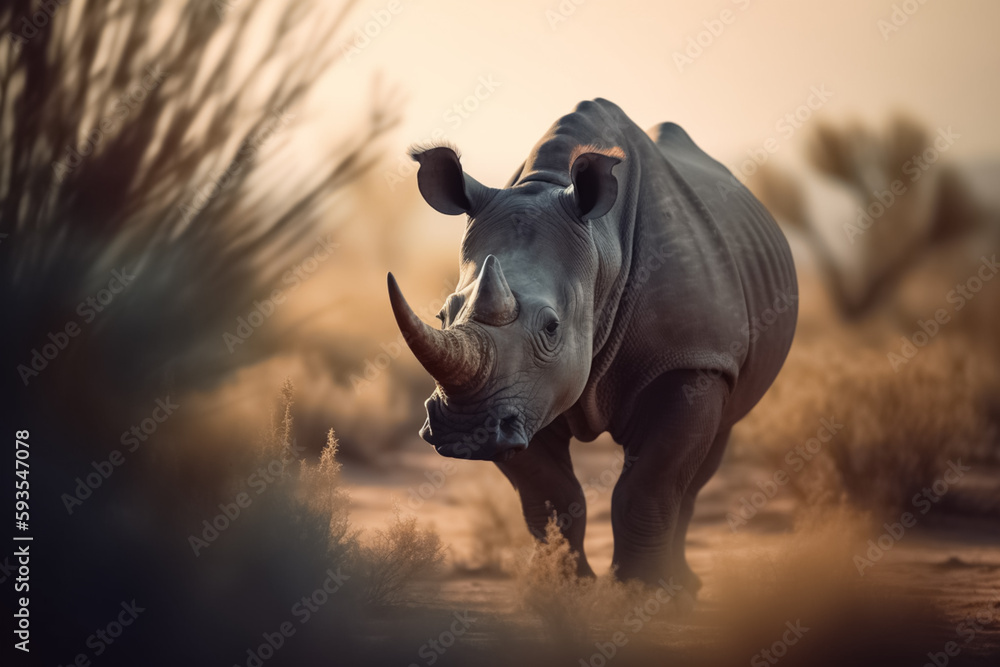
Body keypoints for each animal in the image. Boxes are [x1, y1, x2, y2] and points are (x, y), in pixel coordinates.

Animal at [387, 98, 797, 593]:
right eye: (443, 316)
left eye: (551, 328)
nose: (465, 429)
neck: (602, 249)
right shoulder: (523, 395)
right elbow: (549, 493)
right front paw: (566, 588)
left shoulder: (694, 360)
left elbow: (651, 484)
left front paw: (642, 592)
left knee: (703, 461)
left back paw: (685, 586)